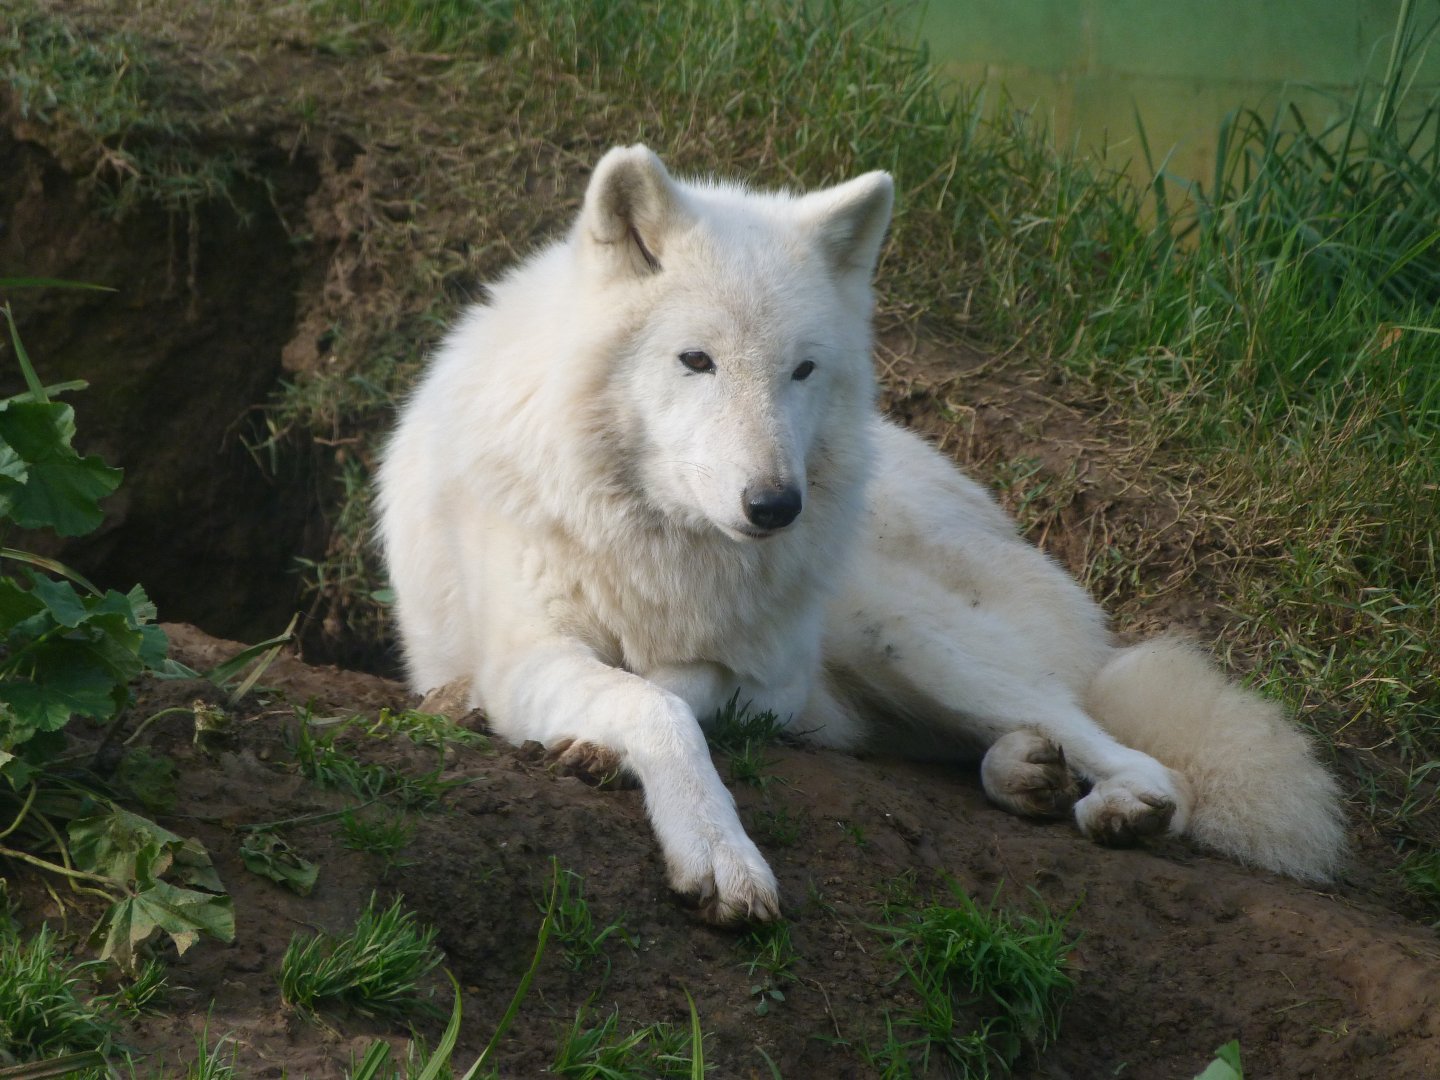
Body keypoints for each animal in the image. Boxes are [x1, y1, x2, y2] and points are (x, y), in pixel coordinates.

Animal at [377, 145, 1345, 922]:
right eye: (696, 360)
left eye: (803, 370)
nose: (776, 506)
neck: (664, 547)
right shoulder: (528, 651)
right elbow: (649, 703)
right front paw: (709, 843)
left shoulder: (766, 680)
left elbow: (672, 691)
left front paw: (629, 773)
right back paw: (1027, 774)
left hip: (896, 632)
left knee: (1134, 755)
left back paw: (1106, 801)